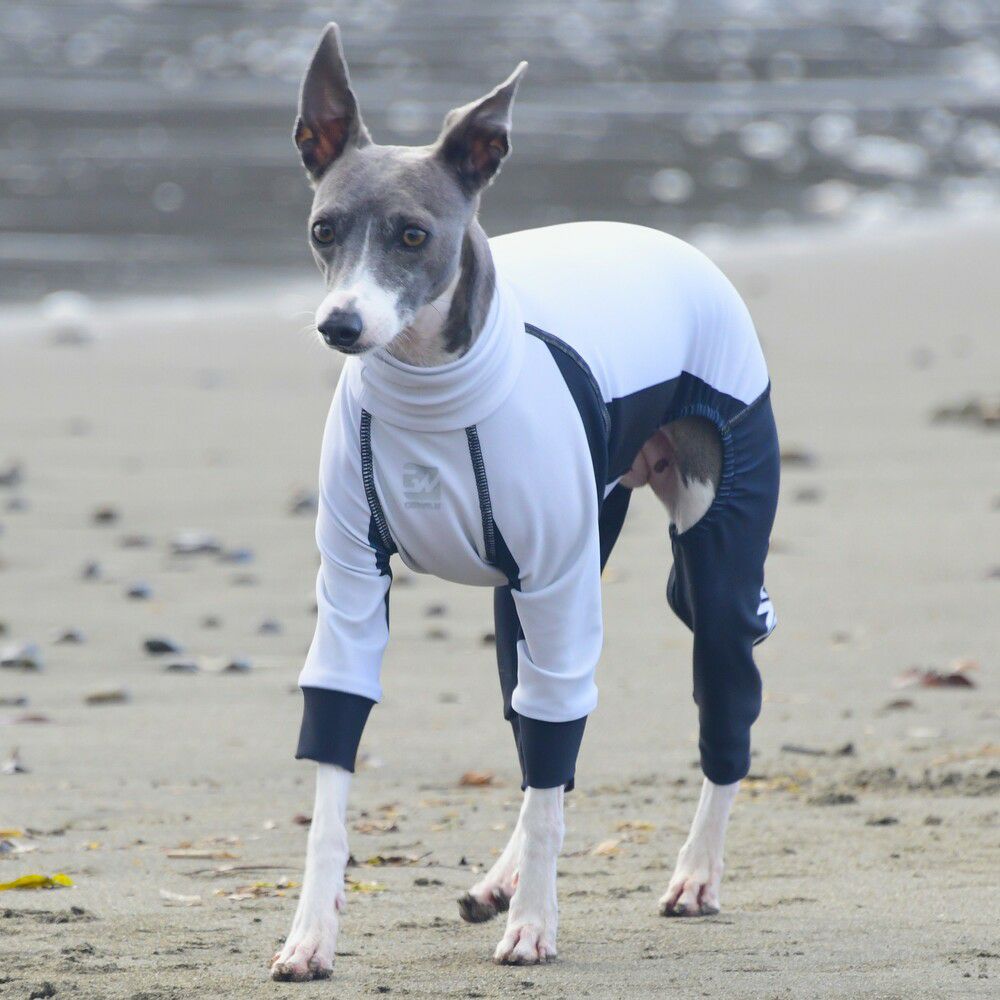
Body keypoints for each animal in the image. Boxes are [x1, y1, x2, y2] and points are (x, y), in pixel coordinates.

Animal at [270, 23, 779, 981]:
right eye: (323, 229)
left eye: (413, 234)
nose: (340, 325)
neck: (433, 393)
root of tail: (666, 237)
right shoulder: (351, 584)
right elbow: (336, 765)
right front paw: (310, 933)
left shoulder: (560, 579)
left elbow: (551, 775)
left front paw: (537, 923)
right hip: (531, 588)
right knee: (538, 723)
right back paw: (501, 880)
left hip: (713, 547)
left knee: (718, 705)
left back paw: (695, 872)